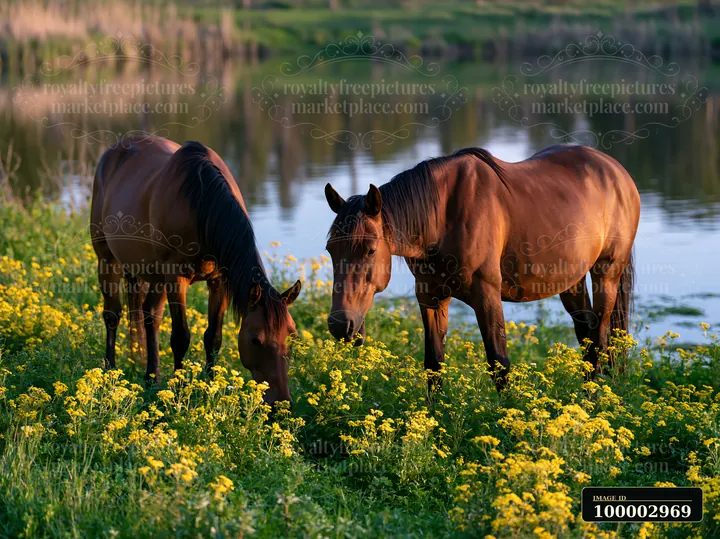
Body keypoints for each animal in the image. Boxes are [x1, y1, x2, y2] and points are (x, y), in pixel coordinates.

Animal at [91, 136, 302, 404]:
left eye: (292, 337)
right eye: (256, 340)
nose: (281, 402)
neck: (201, 206)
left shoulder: (219, 280)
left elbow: (213, 337)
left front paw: (211, 386)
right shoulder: (175, 278)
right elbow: (181, 337)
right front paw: (179, 390)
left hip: (154, 276)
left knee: (150, 316)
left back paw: (151, 378)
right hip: (107, 259)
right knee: (112, 314)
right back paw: (109, 370)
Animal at [324, 145, 640, 392]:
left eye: (370, 249)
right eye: (330, 250)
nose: (340, 325)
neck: (442, 216)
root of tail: (617, 171)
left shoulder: (486, 295)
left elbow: (499, 363)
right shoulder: (430, 297)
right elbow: (433, 366)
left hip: (606, 274)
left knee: (600, 338)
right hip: (571, 280)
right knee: (587, 334)